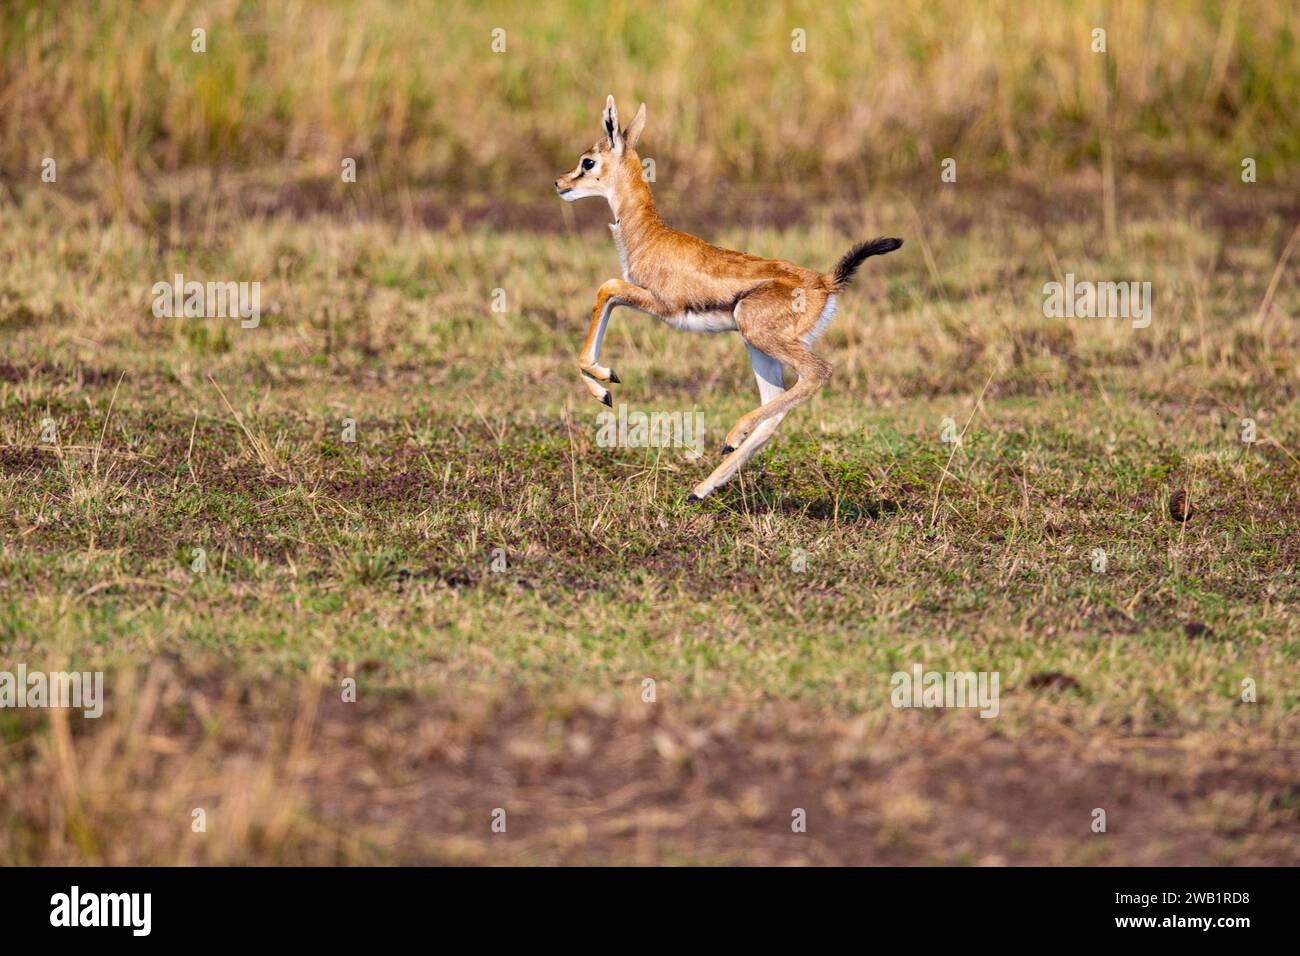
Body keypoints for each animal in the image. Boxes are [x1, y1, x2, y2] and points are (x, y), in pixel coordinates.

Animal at [555, 95, 902, 500]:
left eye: (588, 161)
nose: (560, 183)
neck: (649, 236)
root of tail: (825, 282)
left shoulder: (659, 304)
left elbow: (606, 287)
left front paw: (605, 384)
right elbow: (607, 295)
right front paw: (605, 384)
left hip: (759, 335)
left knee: (817, 374)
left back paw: (731, 438)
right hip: (758, 346)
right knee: (775, 409)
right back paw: (702, 486)